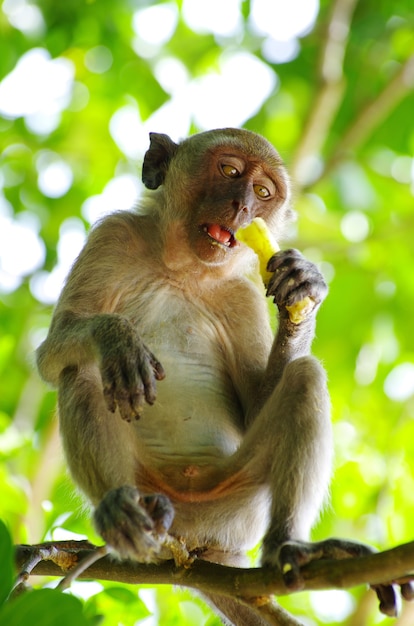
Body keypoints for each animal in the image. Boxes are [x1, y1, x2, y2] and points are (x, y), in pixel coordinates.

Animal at [35, 129, 408, 620]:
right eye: (230, 171)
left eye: (264, 192)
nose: (242, 205)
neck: (181, 270)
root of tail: (190, 539)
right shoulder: (111, 237)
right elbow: (52, 354)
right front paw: (117, 339)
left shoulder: (240, 296)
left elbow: (254, 407)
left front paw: (302, 292)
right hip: (156, 487)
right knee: (82, 372)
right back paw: (122, 511)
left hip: (234, 510)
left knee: (305, 378)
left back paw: (288, 547)